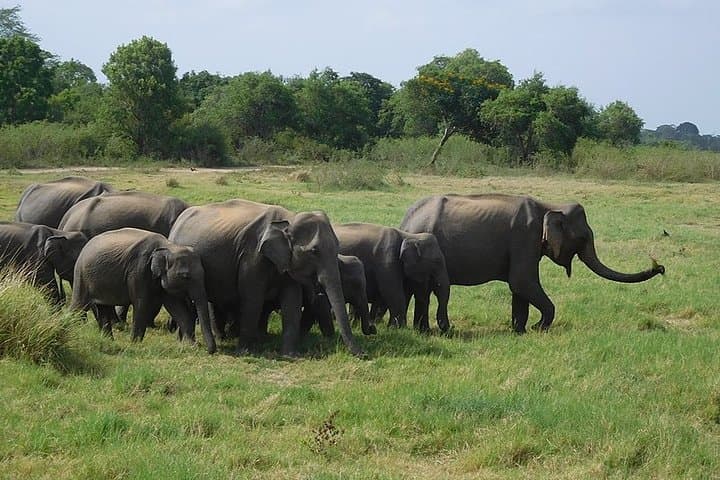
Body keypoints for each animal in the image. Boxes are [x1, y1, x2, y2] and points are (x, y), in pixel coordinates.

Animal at [70, 228, 216, 353]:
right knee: (78, 306)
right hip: (81, 276)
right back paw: (72, 331)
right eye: (185, 276)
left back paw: (109, 341)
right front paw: (134, 343)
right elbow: (141, 303)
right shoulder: (138, 270)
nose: (210, 351)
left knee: (103, 309)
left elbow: (176, 307)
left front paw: (190, 345)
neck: (168, 246)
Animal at [168, 199, 364, 357]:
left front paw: (290, 355)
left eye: (338, 245)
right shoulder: (252, 256)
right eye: (314, 251)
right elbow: (253, 298)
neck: (289, 219)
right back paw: (220, 338)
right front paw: (246, 352)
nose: (362, 354)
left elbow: (292, 301)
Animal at [400, 194, 666, 333]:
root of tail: (406, 219)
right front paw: (538, 328)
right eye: (582, 238)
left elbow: (519, 289)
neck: (549, 205)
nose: (659, 267)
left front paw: (519, 330)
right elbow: (522, 282)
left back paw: (422, 331)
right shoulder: (524, 237)